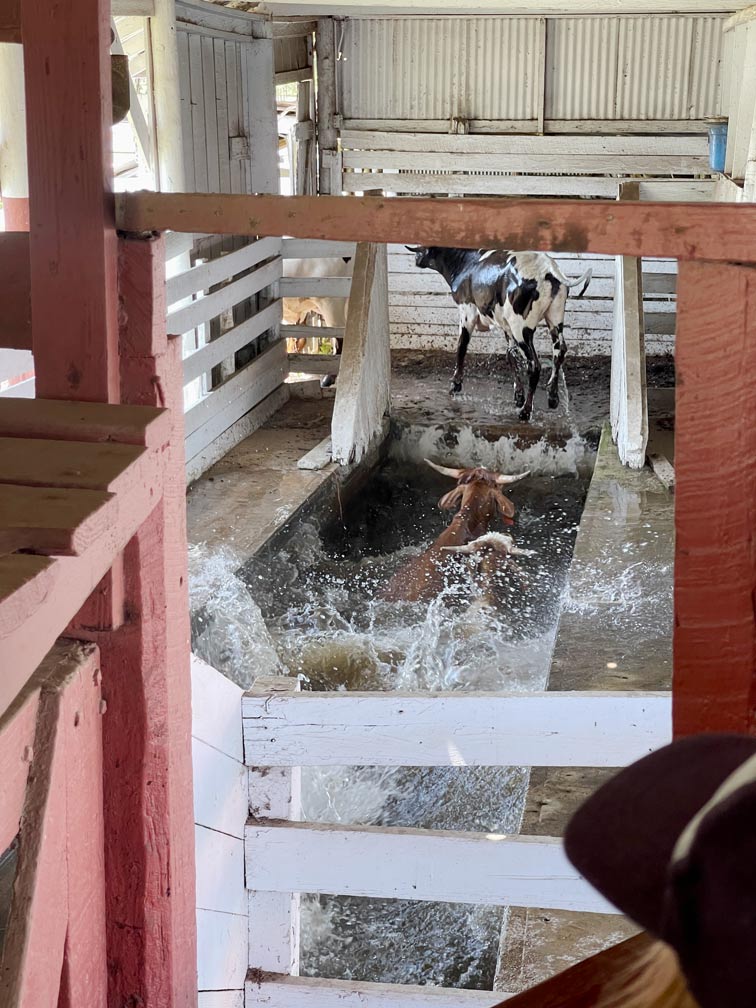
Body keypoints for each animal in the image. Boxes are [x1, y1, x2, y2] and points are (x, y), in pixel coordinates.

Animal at [409, 247, 592, 421]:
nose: (416, 259)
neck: (466, 262)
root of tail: (548, 269)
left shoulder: (467, 311)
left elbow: (461, 346)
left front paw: (455, 385)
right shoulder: (506, 326)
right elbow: (510, 355)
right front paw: (518, 395)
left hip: (522, 327)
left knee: (534, 365)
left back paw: (526, 411)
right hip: (555, 317)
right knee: (559, 351)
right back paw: (552, 397)